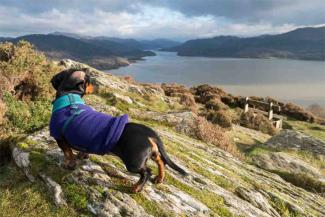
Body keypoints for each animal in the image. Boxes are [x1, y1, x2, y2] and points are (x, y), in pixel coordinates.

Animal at [49, 68, 186, 192]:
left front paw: (69, 164)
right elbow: (78, 151)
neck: (69, 98)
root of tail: (148, 132)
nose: (96, 86)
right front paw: (81, 156)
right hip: (151, 153)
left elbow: (68, 153)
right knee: (161, 161)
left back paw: (137, 188)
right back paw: (159, 178)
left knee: (147, 171)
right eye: (90, 81)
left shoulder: (59, 138)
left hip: (134, 161)